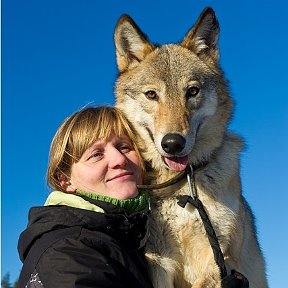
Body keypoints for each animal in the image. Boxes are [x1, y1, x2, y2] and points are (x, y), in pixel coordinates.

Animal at [113, 6, 266, 288]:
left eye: (192, 91)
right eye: (152, 95)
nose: (173, 143)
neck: (185, 183)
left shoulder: (218, 258)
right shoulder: (158, 262)